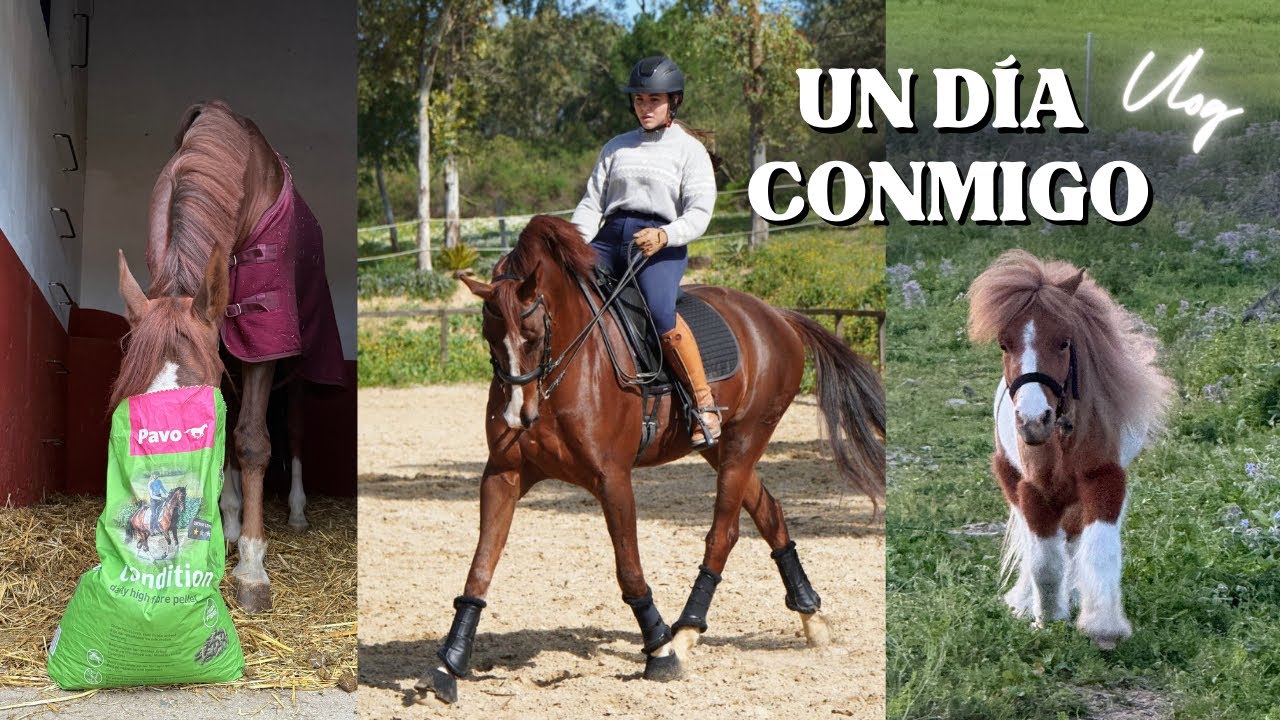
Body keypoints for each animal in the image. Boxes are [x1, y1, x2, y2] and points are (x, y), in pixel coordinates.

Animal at [417, 215, 885, 703]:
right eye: (489, 339)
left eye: (533, 337)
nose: (517, 417)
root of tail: (777, 316)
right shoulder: (503, 475)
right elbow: (479, 569)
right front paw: (448, 665)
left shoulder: (612, 479)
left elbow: (629, 569)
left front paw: (659, 651)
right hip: (720, 447)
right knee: (769, 512)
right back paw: (811, 618)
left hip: (745, 440)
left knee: (724, 533)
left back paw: (686, 632)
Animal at [967, 250, 1172, 649]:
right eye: (1004, 344)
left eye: (1064, 342)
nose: (1033, 420)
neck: (1062, 438)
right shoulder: (1033, 491)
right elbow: (1043, 561)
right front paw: (1046, 619)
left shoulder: (1105, 480)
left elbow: (1101, 550)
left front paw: (1103, 626)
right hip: (1010, 478)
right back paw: (1028, 601)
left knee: (1076, 542)